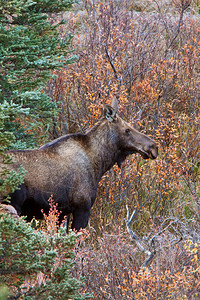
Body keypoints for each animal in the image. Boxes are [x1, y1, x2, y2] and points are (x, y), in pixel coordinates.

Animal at [1, 99, 158, 231]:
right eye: (127, 130)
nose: (153, 147)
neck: (99, 163)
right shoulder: (82, 208)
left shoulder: (62, 212)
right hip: (12, 206)